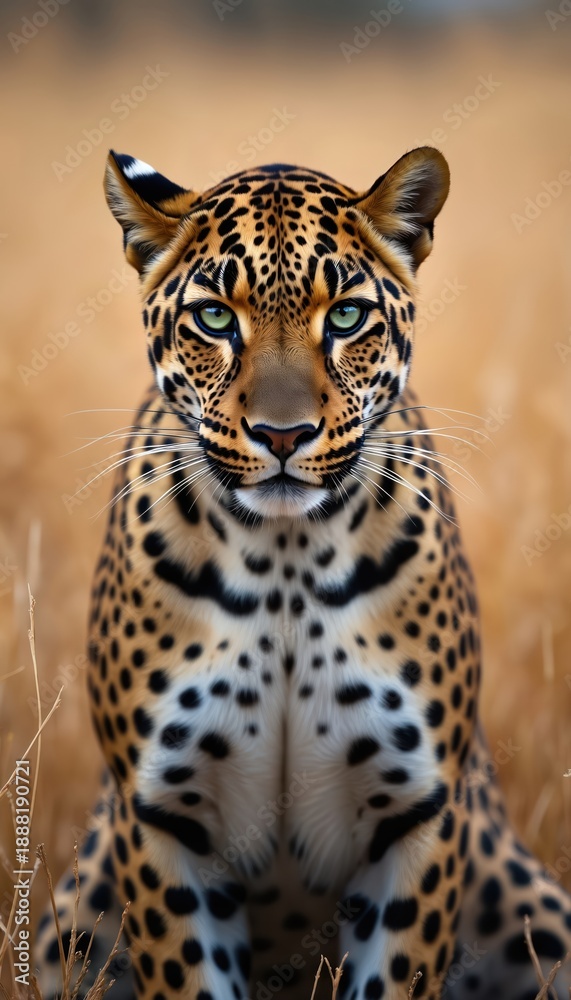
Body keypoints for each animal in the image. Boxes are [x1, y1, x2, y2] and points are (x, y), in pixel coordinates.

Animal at [35, 147, 571, 1000]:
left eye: (346, 317)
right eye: (215, 318)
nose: (282, 435)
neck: (284, 559)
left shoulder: (417, 813)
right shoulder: (160, 815)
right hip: (72, 920)